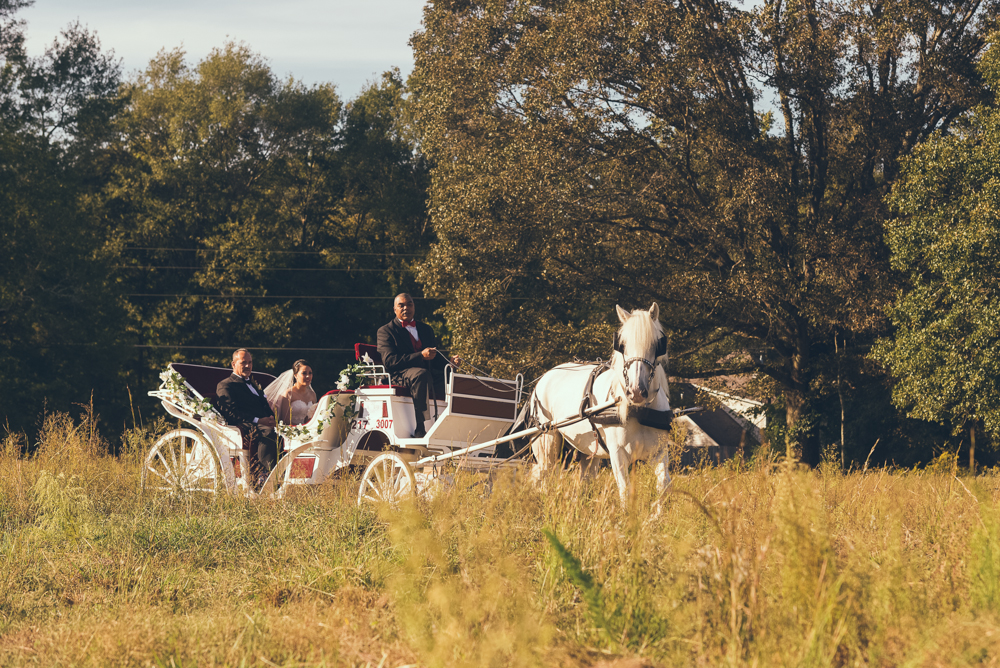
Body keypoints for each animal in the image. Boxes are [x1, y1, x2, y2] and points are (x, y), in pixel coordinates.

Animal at [532, 302, 672, 500]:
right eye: (623, 345)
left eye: (656, 345)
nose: (636, 391)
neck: (640, 411)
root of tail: (545, 377)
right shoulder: (618, 453)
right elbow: (625, 491)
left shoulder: (659, 453)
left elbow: (663, 487)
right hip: (548, 441)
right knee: (545, 476)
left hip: (588, 451)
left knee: (584, 481)